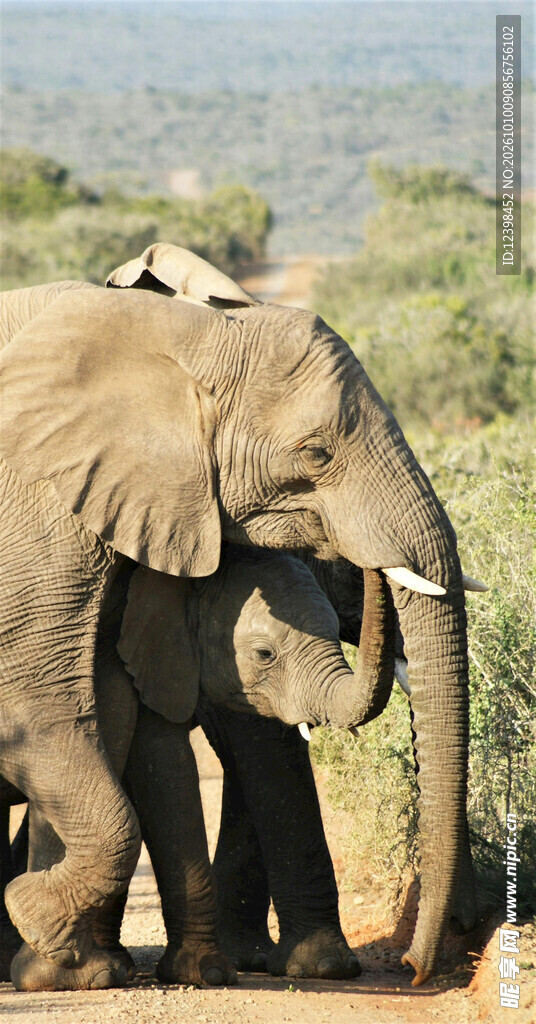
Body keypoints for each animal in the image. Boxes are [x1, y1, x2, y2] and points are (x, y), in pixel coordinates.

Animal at [0, 243, 481, 989]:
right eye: (316, 453)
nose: (415, 967)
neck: (176, 336)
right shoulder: (40, 507)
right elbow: (44, 700)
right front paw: (48, 939)